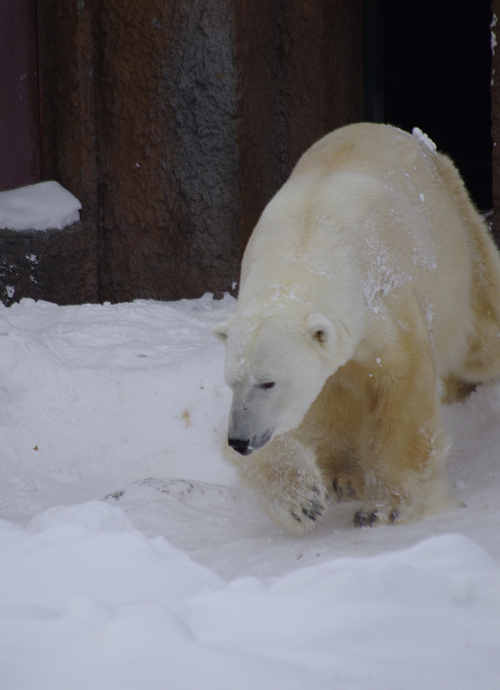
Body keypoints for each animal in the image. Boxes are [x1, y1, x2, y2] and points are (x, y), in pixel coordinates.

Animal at [214, 122, 500, 532]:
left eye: (268, 382)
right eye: (231, 382)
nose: (239, 440)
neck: (307, 240)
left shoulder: (386, 306)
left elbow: (403, 388)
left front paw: (384, 507)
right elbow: (316, 405)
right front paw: (308, 496)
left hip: (459, 244)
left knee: (481, 342)